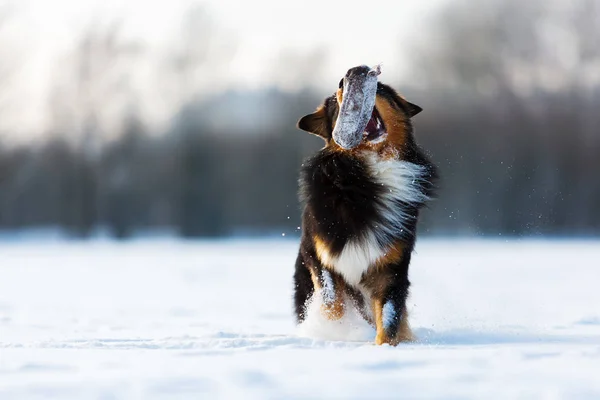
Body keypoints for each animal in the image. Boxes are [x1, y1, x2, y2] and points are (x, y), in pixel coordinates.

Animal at [294, 64, 438, 346]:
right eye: (334, 99)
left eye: (381, 89)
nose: (351, 73)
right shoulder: (317, 253)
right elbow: (332, 301)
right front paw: (343, 329)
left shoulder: (392, 267)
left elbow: (390, 316)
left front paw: (384, 346)